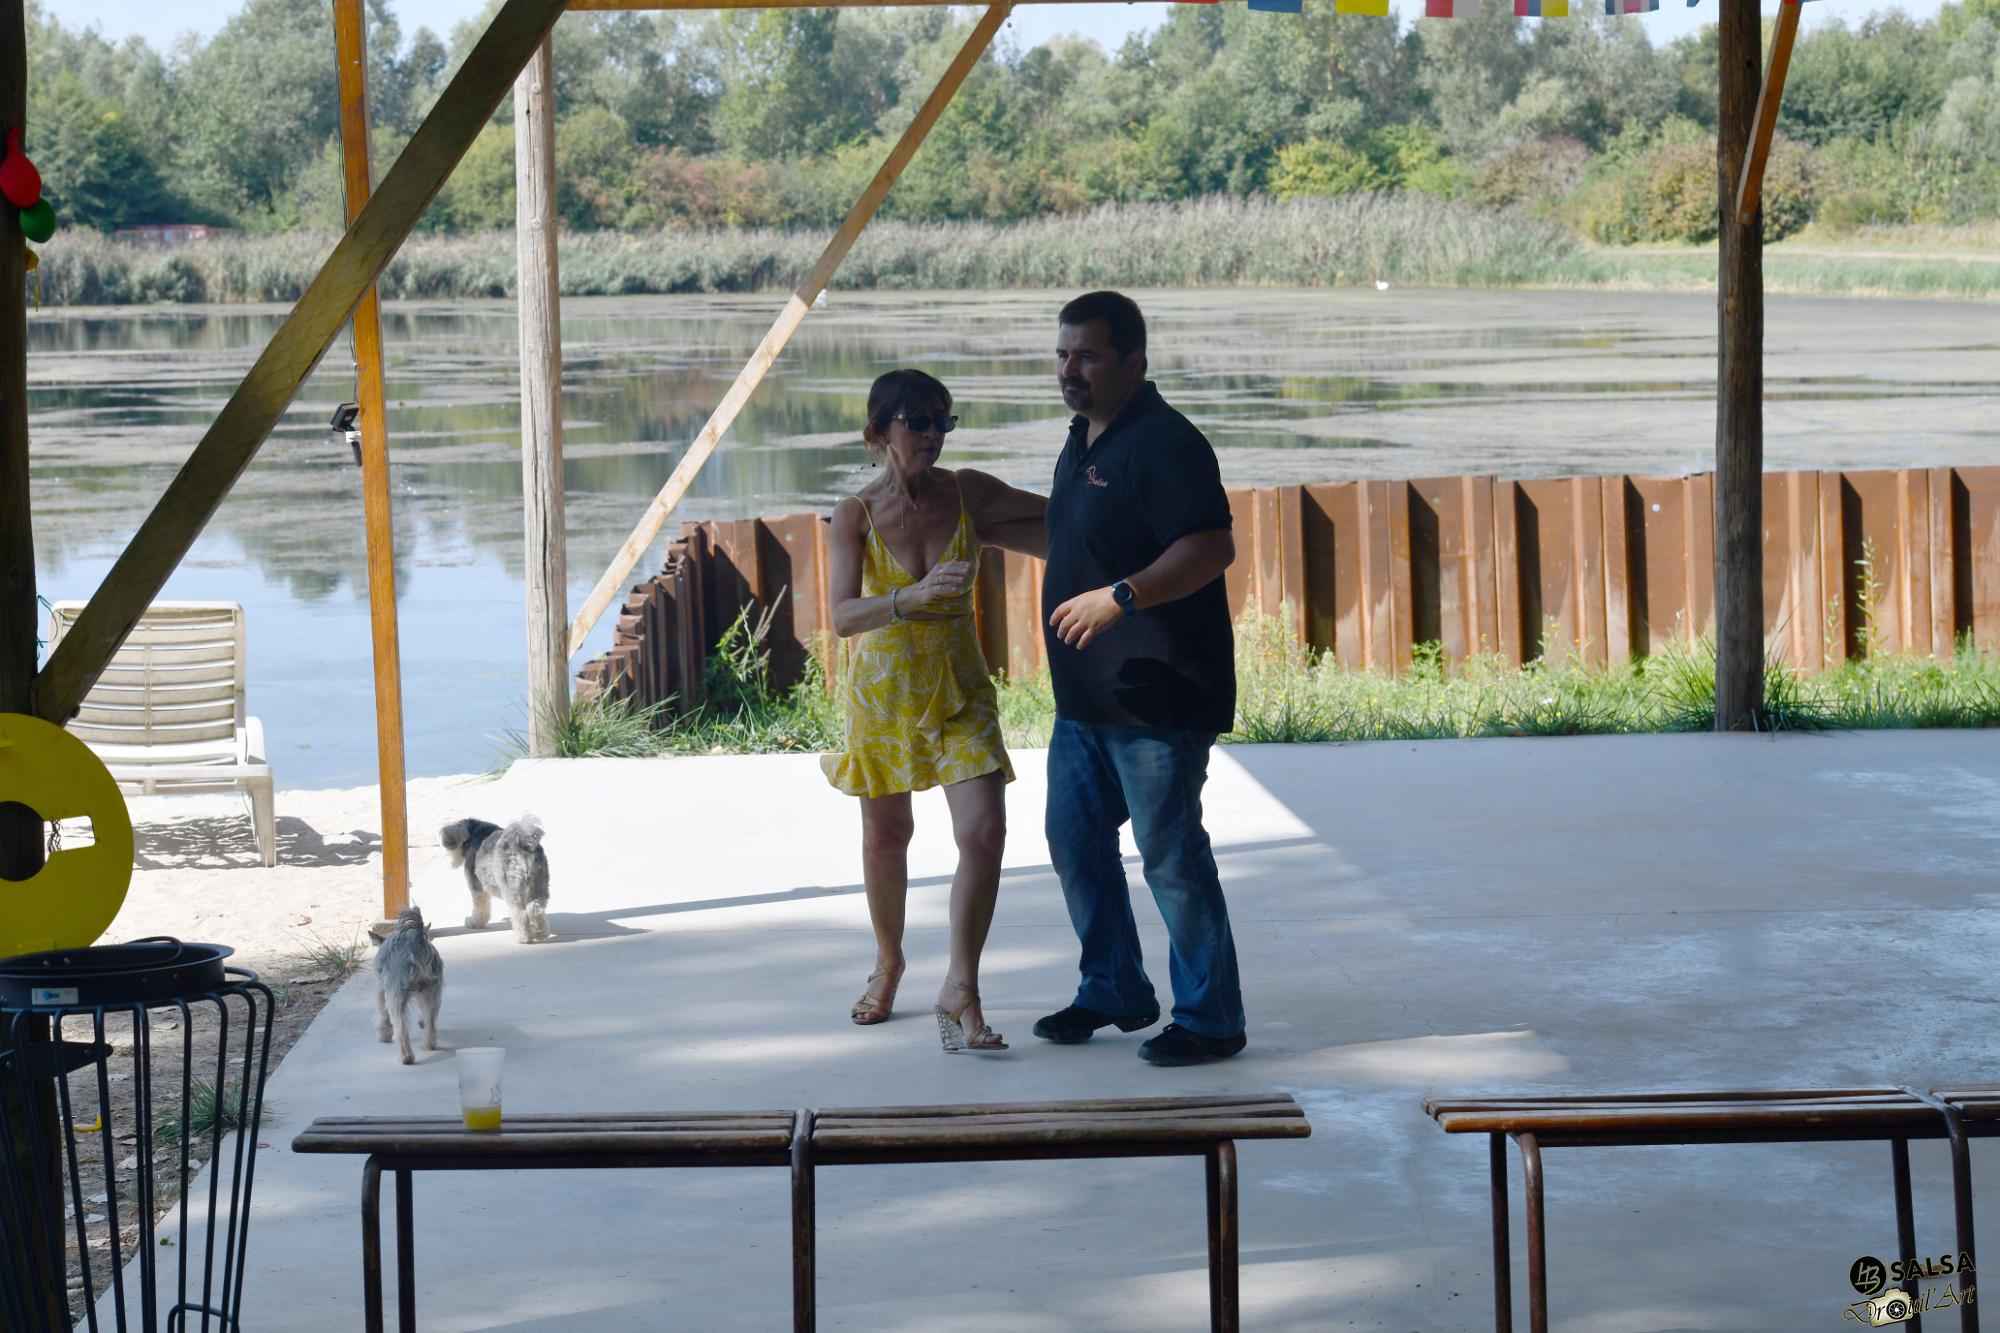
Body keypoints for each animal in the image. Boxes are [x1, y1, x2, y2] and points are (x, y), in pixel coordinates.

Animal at [374, 906, 444, 1065]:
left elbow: (383, 1014)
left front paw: (384, 1035)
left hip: (396, 997)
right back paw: (429, 1044)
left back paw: (406, 1057)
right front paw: (421, 1021)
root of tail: (417, 944)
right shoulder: (422, 992)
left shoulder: (382, 990)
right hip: (432, 992)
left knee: (401, 1029)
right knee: (431, 1019)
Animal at [440, 815, 552, 944]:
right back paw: (540, 933)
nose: (448, 863)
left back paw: (523, 937)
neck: (475, 832)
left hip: (512, 889)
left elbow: (480, 909)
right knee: (536, 909)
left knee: (520, 913)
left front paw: (474, 923)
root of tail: (523, 844)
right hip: (539, 885)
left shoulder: (477, 889)